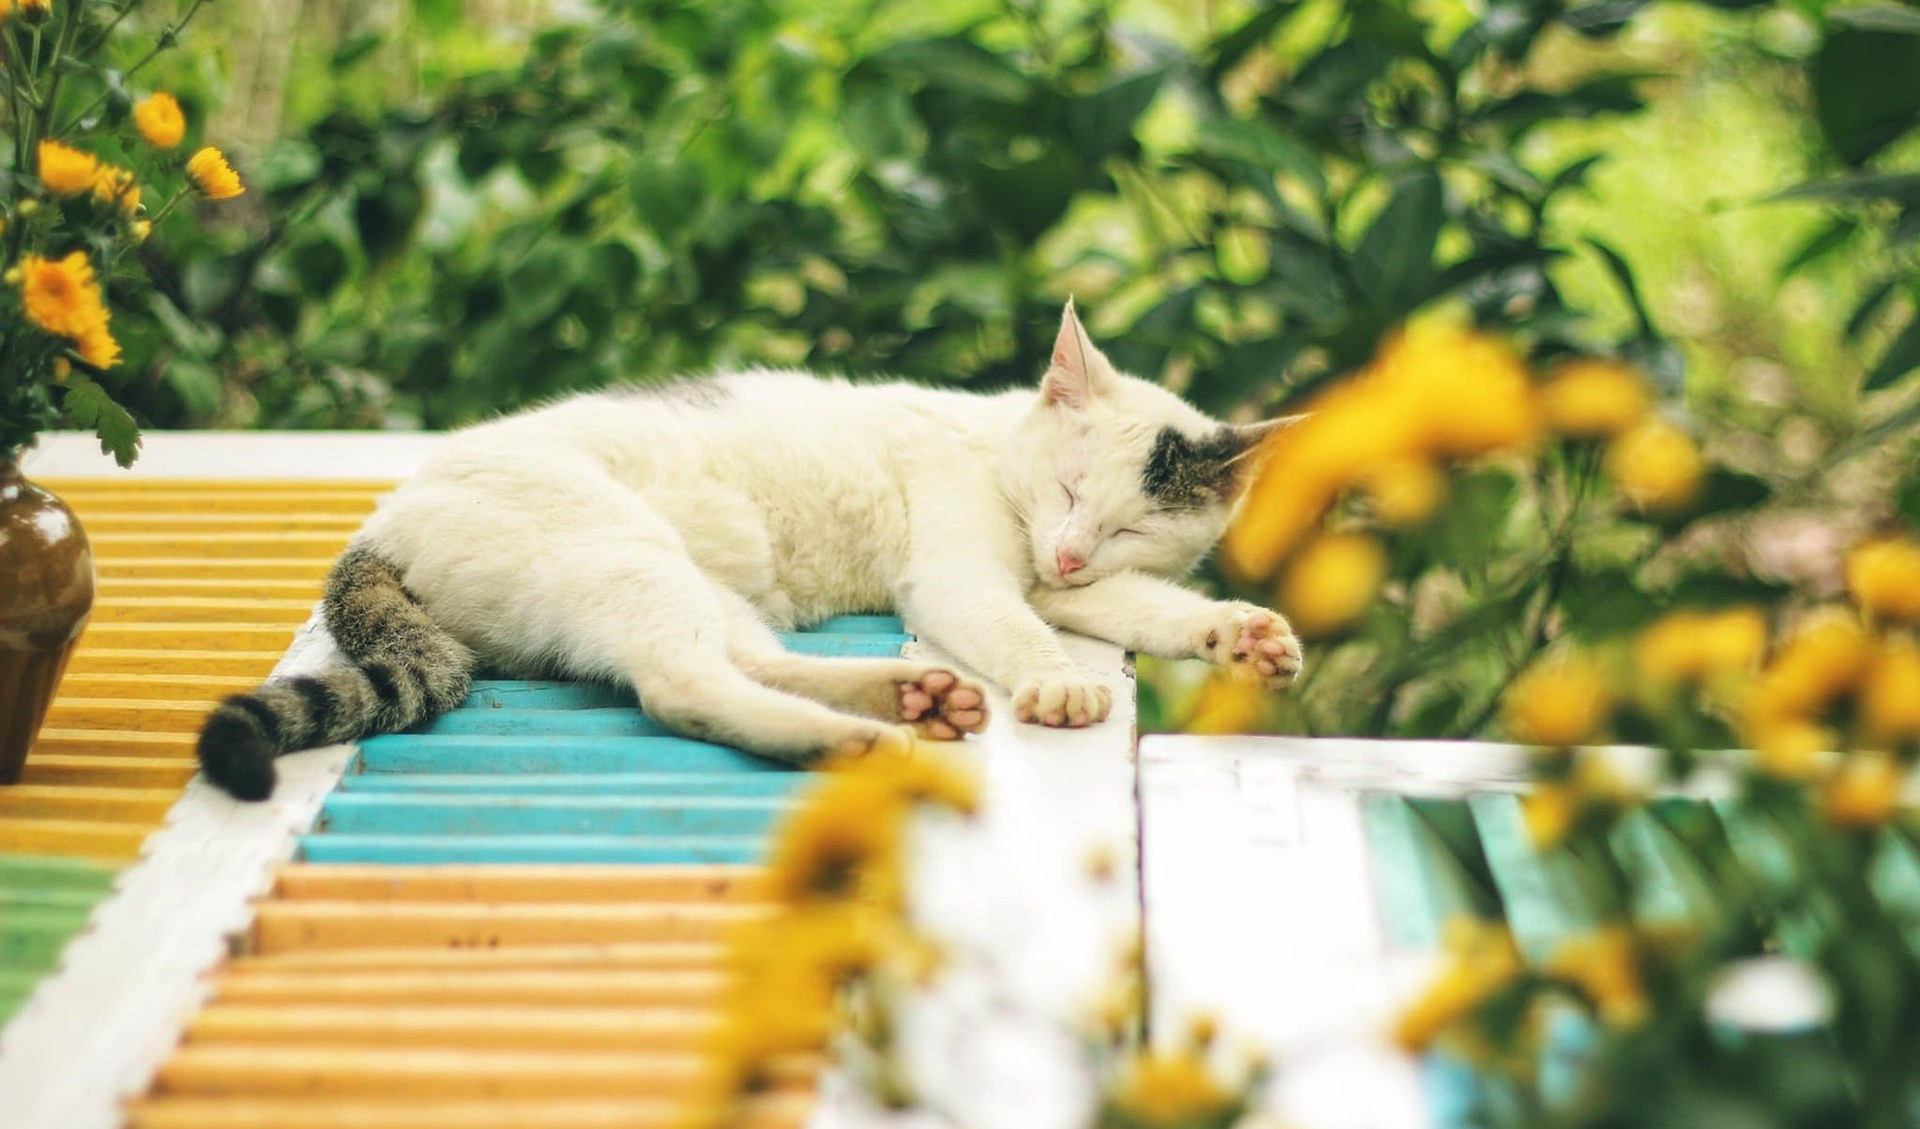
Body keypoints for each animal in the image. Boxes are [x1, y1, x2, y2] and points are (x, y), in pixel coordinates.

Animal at [198, 297, 1305, 794]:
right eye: (1070, 487)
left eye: (1130, 524)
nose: (1072, 549)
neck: (999, 455)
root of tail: (380, 527)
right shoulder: (961, 574)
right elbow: (1016, 626)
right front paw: (1059, 682)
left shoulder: (1075, 587)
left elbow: (1147, 608)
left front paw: (1241, 635)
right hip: (629, 554)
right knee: (678, 685)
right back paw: (855, 737)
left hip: (694, 585)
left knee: (745, 660)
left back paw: (904, 697)